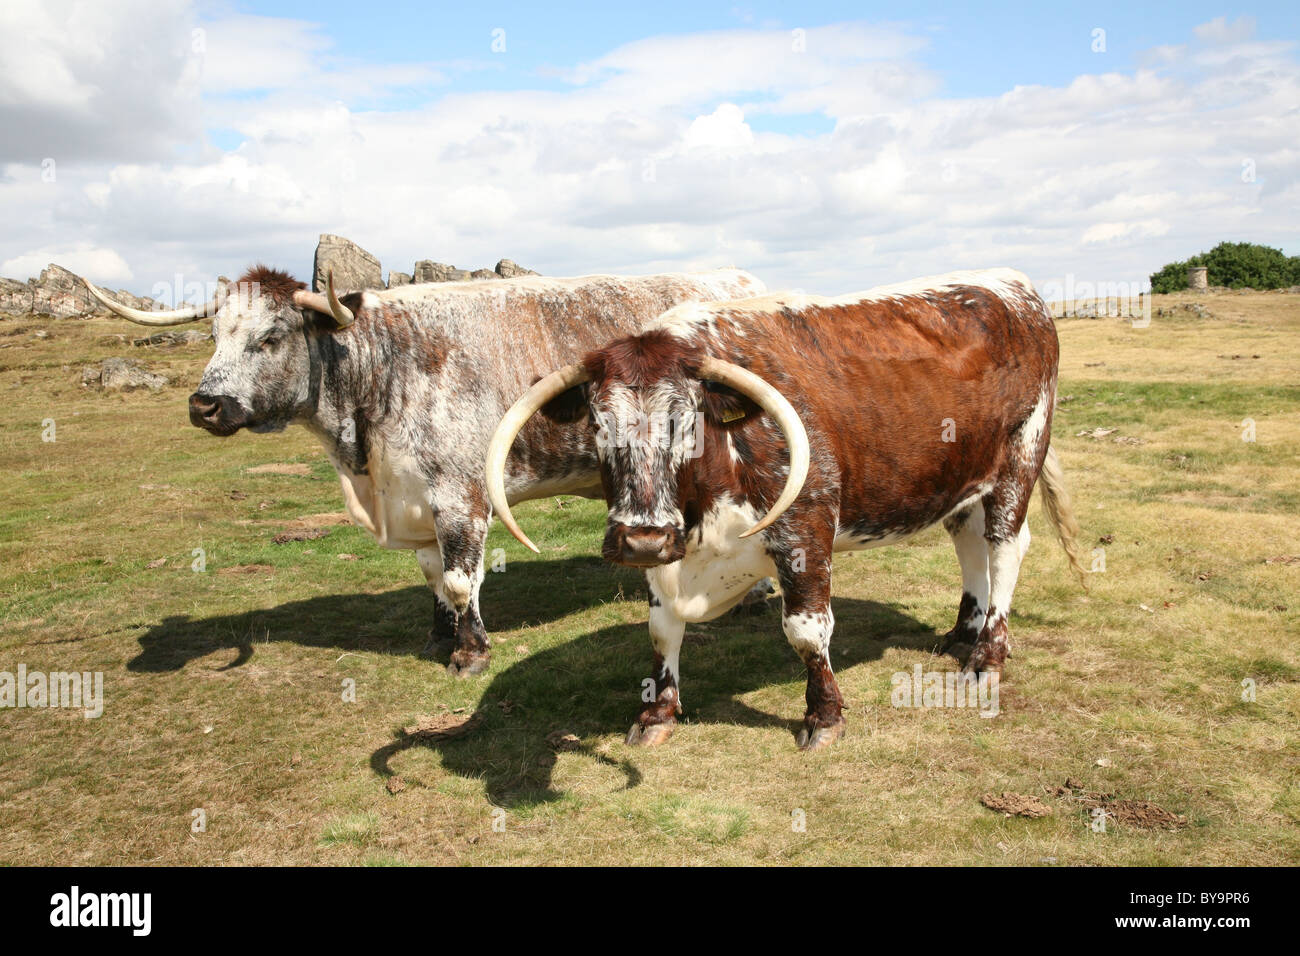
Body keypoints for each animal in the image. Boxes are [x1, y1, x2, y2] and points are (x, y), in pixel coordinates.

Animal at [81, 265, 759, 676]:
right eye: (215, 334)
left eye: (270, 337)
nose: (203, 405)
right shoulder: (415, 499)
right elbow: (434, 576)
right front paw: (439, 637)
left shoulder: (460, 495)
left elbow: (461, 579)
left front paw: (471, 652)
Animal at [488, 267, 1086, 749]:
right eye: (597, 422)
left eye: (688, 421)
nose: (641, 540)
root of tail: (1015, 286)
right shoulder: (667, 554)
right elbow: (662, 630)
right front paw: (656, 714)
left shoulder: (805, 531)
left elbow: (805, 629)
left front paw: (824, 717)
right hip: (962, 476)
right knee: (967, 541)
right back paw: (963, 632)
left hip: (1021, 454)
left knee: (1005, 546)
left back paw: (986, 657)